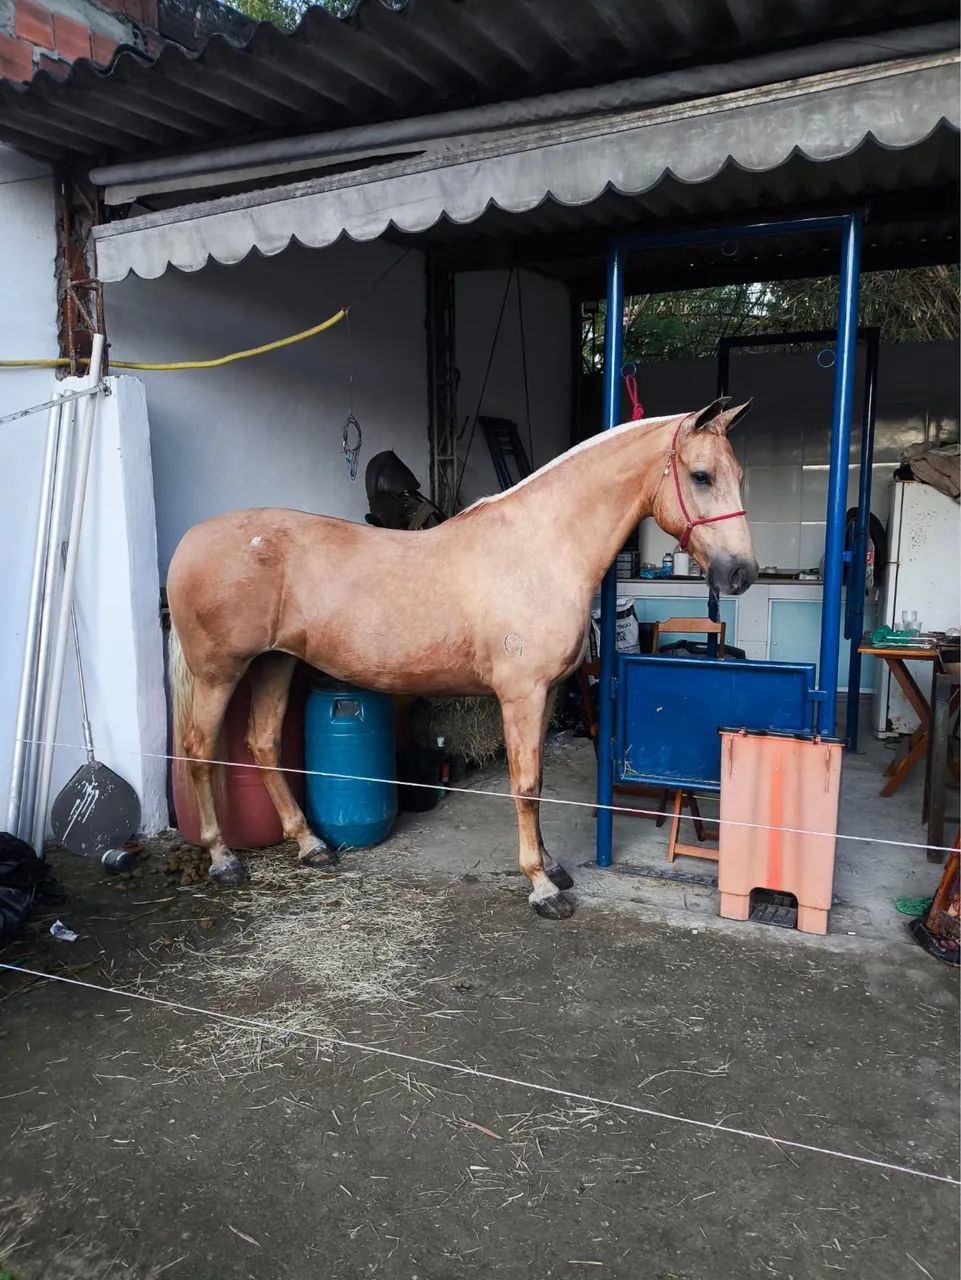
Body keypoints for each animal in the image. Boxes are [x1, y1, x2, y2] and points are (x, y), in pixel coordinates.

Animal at [166, 396, 757, 919]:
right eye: (701, 476)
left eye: (738, 474)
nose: (741, 574)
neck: (541, 547)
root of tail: (191, 540)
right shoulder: (521, 695)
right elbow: (525, 786)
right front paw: (542, 887)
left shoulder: (543, 696)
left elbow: (536, 782)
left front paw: (551, 866)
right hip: (219, 672)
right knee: (199, 750)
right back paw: (224, 859)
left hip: (276, 662)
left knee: (263, 744)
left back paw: (311, 846)